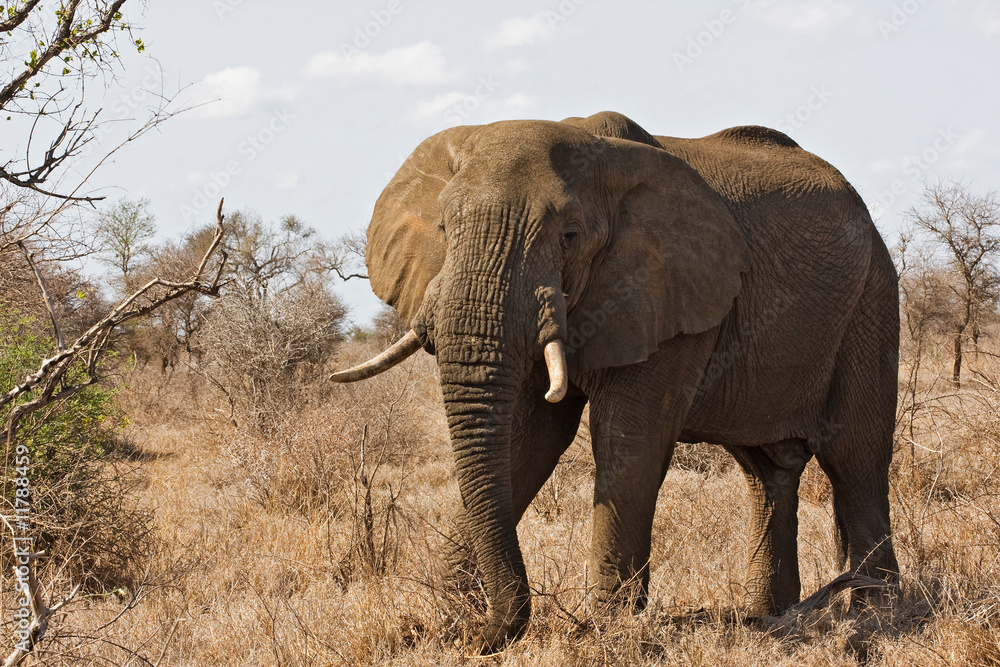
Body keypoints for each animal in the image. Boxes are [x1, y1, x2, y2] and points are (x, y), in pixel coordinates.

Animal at [331, 111, 899, 652]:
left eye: (570, 236)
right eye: (445, 230)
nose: (477, 636)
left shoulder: (667, 293)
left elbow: (629, 440)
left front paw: (607, 631)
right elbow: (528, 441)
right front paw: (446, 621)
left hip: (871, 297)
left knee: (855, 456)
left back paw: (876, 616)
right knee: (766, 470)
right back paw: (769, 618)